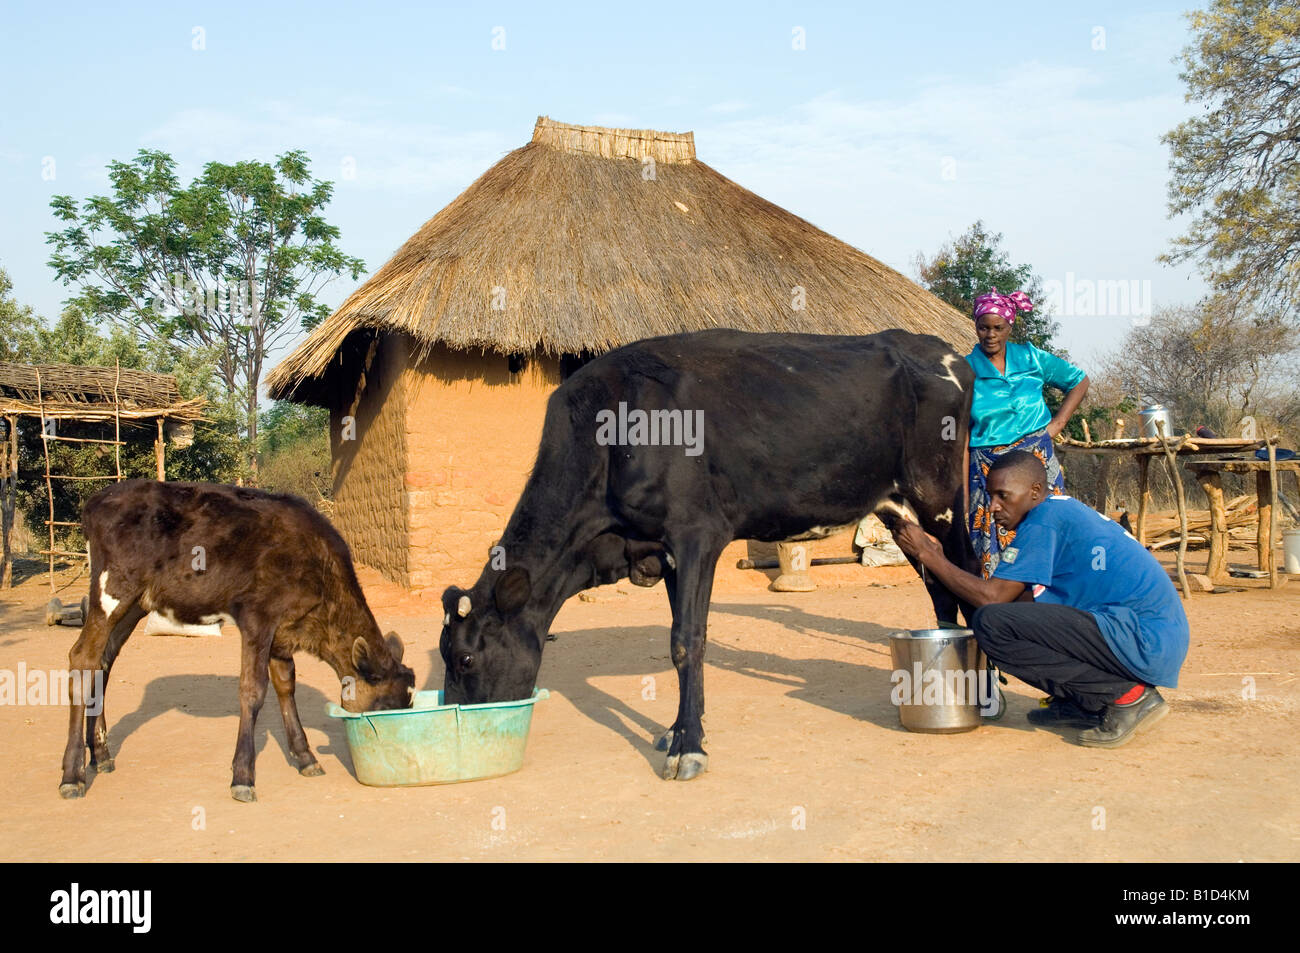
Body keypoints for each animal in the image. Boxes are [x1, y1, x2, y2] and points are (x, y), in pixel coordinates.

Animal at [58, 480, 415, 802]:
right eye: (384, 707)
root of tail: (97, 500)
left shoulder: (283, 631)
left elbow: (285, 685)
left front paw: (305, 757)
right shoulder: (257, 616)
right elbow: (253, 690)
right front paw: (243, 777)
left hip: (135, 603)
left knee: (103, 661)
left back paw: (101, 754)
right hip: (113, 588)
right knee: (82, 658)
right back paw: (72, 774)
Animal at [440, 328, 977, 781]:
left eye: (466, 657)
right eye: (446, 654)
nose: (461, 719)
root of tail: (941, 350)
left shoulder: (696, 533)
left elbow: (686, 642)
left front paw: (689, 748)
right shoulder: (664, 552)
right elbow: (681, 637)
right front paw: (678, 731)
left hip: (941, 497)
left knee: (969, 573)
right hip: (897, 507)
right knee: (939, 586)